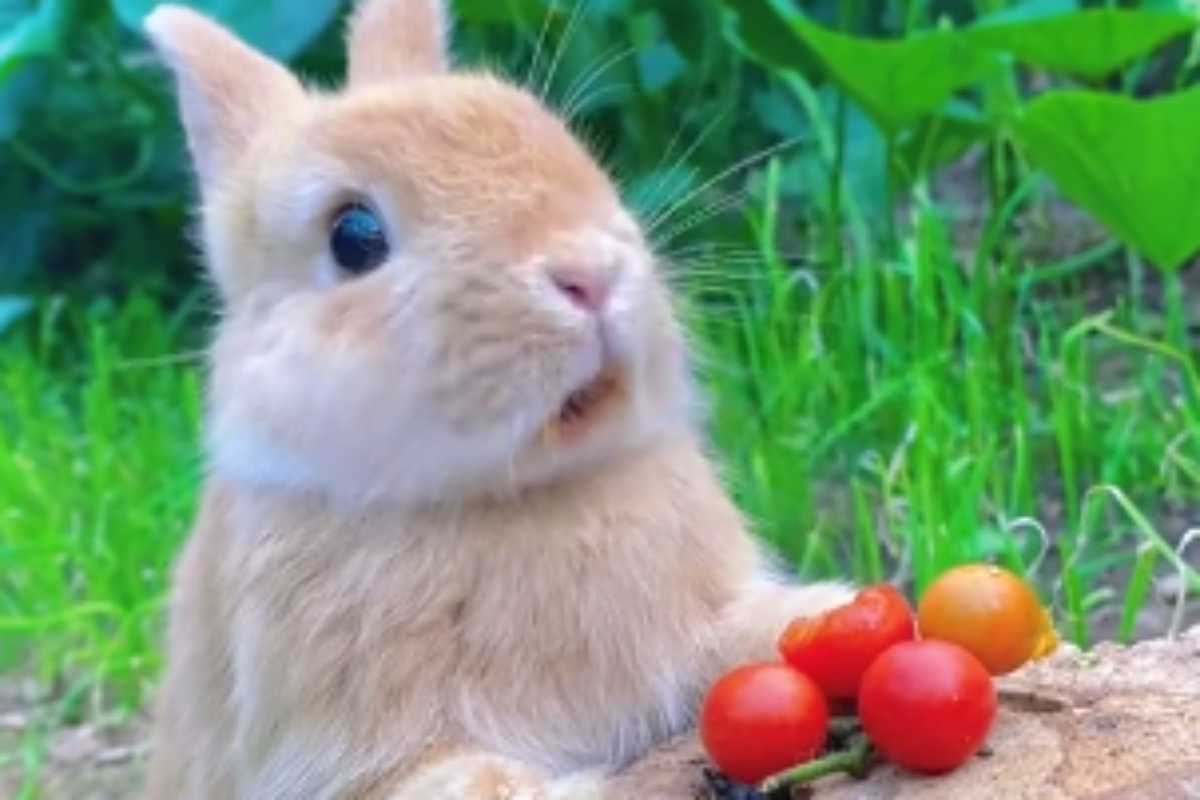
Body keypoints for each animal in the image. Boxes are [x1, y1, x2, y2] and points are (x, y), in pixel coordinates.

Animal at [142, 3, 854, 796]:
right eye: (354, 236)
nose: (591, 274)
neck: (523, 498)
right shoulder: (358, 761)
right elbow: (487, 783)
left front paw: (848, 613)